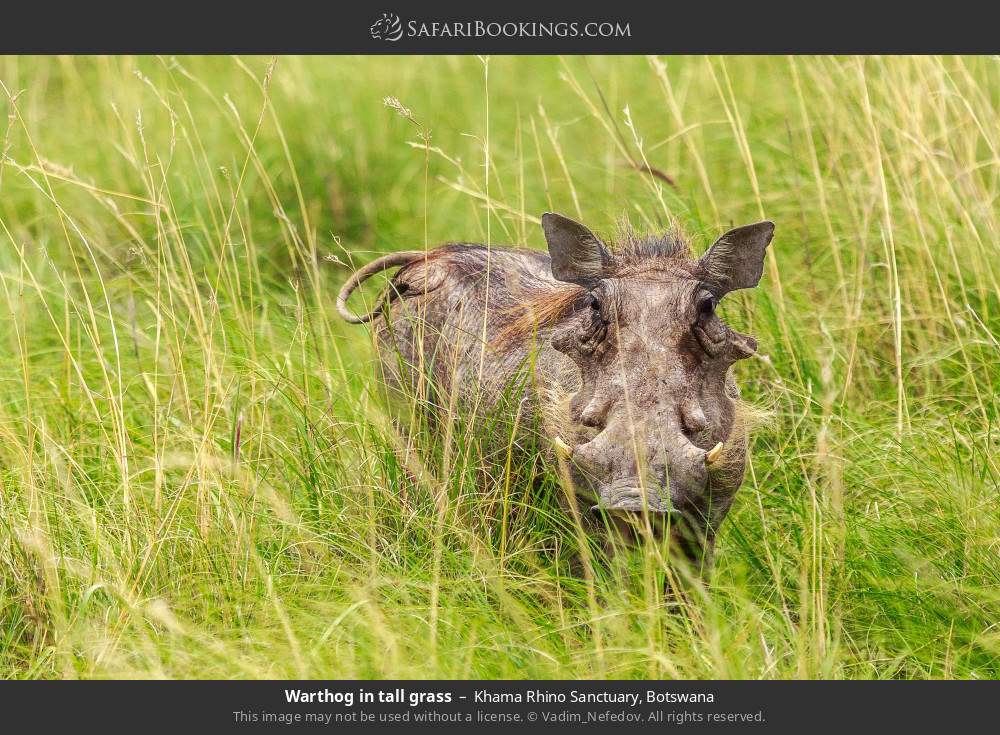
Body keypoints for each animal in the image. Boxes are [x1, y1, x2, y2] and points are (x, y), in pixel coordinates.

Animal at [337, 213, 773, 571]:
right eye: (595, 305)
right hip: (408, 433)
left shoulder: (706, 521)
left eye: (707, 307)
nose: (635, 497)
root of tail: (428, 259)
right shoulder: (574, 511)